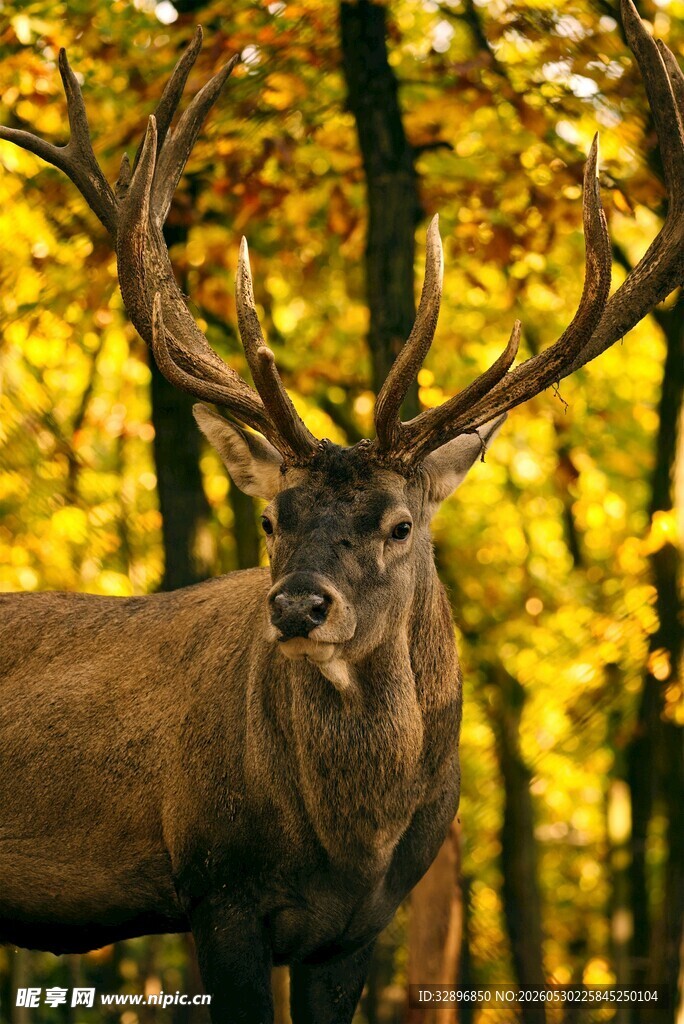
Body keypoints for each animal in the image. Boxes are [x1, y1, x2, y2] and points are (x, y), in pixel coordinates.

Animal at [0, 2, 682, 1021]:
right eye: (272, 519)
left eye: (400, 524)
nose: (296, 607)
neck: (349, 846)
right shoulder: (218, 888)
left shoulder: (361, 930)